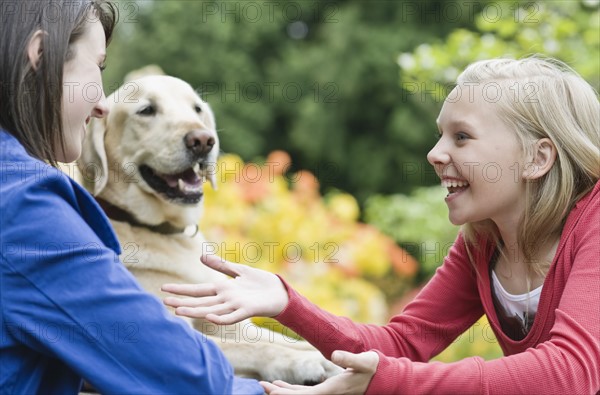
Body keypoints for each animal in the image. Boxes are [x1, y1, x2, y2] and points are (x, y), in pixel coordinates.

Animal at [75, 76, 340, 386]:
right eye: (146, 110)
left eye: (197, 109)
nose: (202, 140)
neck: (165, 231)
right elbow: (247, 348)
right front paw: (305, 362)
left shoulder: (232, 323)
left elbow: (285, 340)